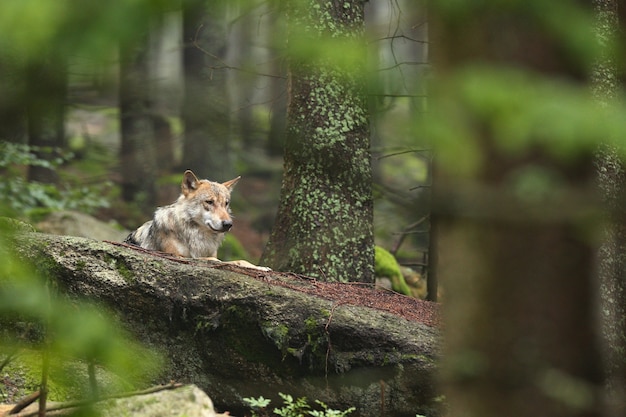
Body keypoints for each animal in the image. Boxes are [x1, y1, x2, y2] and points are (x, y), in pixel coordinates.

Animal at [124, 169, 268, 270]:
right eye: (209, 202)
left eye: (226, 203)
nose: (228, 224)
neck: (198, 235)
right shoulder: (178, 256)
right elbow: (213, 260)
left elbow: (240, 261)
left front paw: (261, 267)